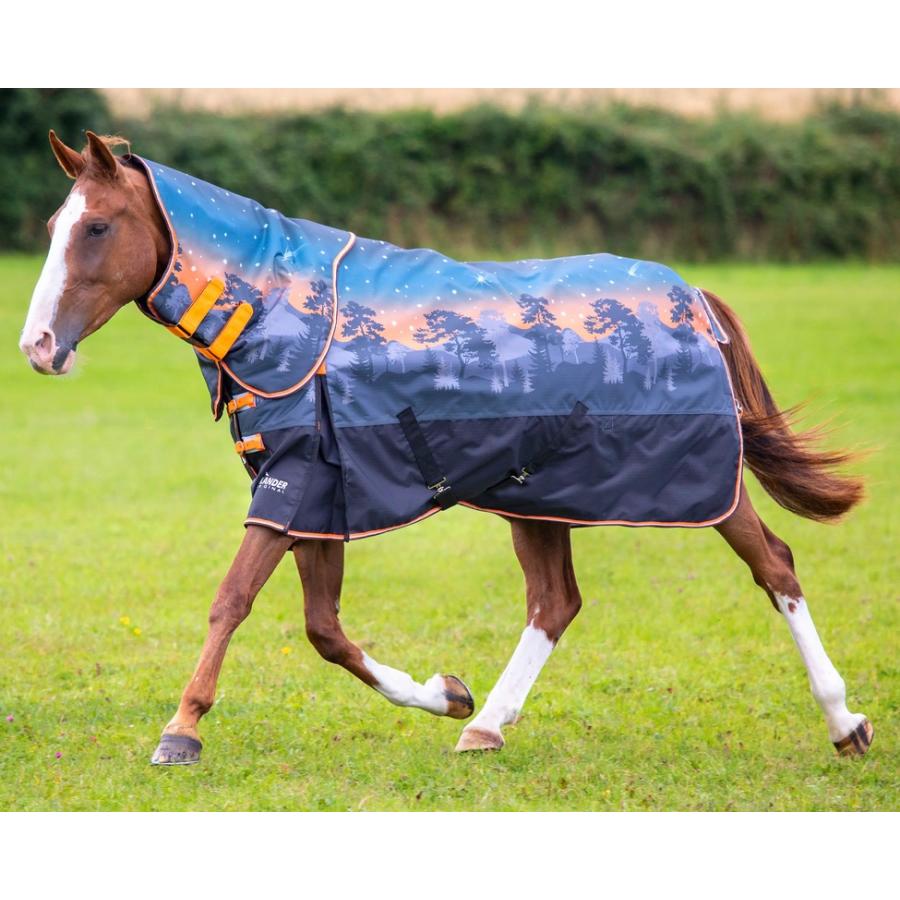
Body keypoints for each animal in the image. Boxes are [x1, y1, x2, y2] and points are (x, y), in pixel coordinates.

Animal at [18, 130, 873, 766]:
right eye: (55, 228)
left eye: (98, 227)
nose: (37, 347)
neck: (278, 315)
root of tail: (694, 297)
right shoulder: (318, 497)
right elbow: (324, 631)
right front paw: (445, 692)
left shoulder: (292, 488)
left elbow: (233, 601)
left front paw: (181, 731)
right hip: (536, 494)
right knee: (555, 602)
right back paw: (484, 724)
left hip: (703, 485)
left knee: (775, 567)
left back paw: (845, 723)